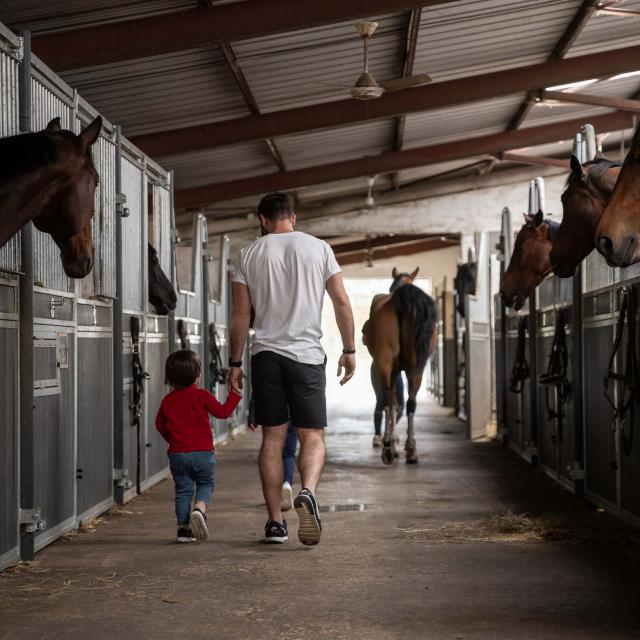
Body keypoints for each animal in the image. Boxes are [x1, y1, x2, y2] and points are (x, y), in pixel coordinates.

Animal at [362, 266, 438, 464]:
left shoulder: (392, 369)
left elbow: (393, 404)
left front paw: (394, 444)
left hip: (390, 365)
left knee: (390, 400)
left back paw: (390, 447)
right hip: (415, 367)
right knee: (407, 402)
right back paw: (409, 448)